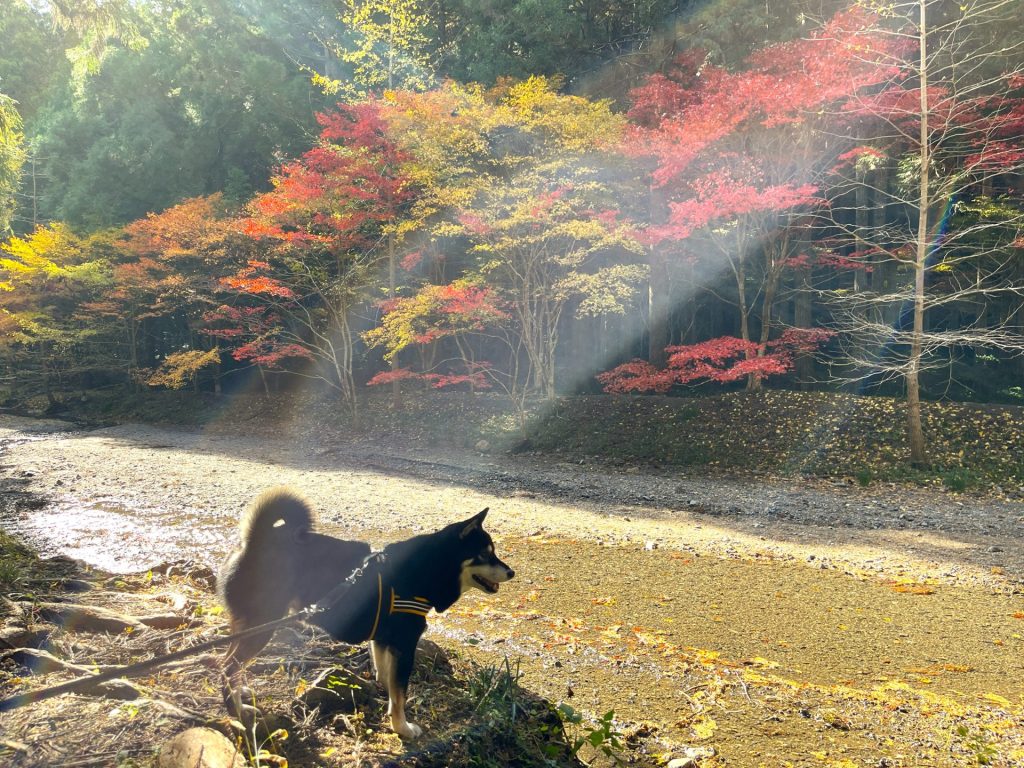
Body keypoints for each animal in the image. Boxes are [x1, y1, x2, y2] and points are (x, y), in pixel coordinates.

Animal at [219, 489, 516, 737]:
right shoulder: (404, 645)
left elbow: (389, 682)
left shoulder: (383, 642)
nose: (512, 572)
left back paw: (240, 691)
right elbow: (400, 692)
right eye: (485, 554)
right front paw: (402, 728)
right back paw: (238, 711)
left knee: (229, 663)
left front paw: (391, 713)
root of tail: (255, 541)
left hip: (247, 627)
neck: (426, 569)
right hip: (262, 627)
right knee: (226, 666)